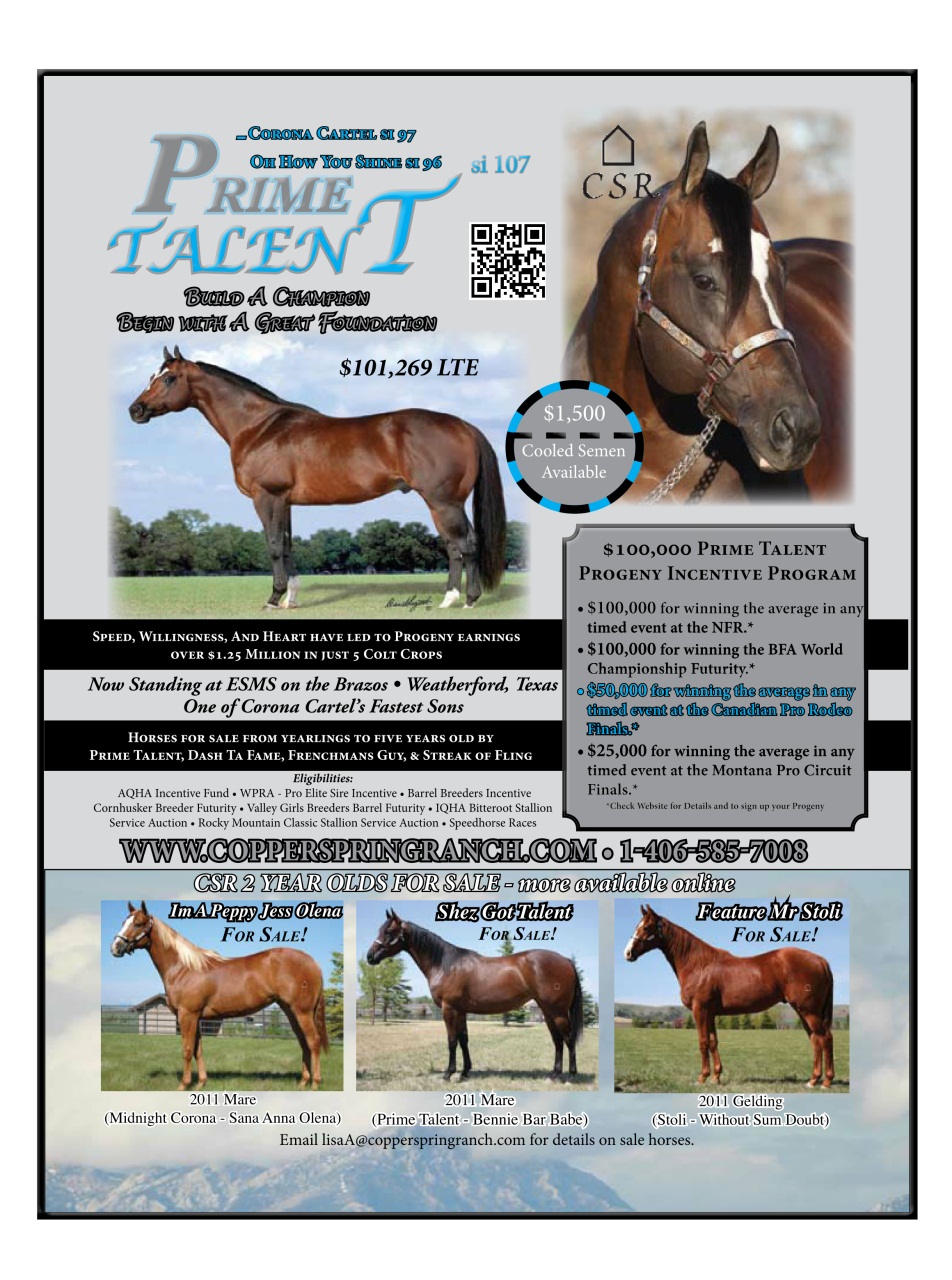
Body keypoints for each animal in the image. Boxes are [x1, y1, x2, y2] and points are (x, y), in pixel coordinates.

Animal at [110, 902, 329, 1090]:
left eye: (138, 923)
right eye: (123, 922)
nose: (115, 948)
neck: (185, 968)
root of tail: (313, 962)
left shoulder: (187, 1015)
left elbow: (187, 1049)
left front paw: (184, 1084)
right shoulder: (196, 1017)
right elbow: (198, 1050)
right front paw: (201, 1083)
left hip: (302, 1012)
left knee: (313, 1042)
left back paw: (316, 1083)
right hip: (291, 1011)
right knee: (303, 1042)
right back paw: (303, 1081)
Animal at [128, 347, 507, 609]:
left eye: (169, 379)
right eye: (151, 376)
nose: (135, 410)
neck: (258, 427)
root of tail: (463, 426)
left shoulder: (267, 496)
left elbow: (273, 545)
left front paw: (273, 598)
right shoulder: (285, 501)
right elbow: (287, 544)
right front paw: (291, 599)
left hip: (444, 501)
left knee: (466, 545)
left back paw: (469, 600)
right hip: (439, 503)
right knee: (455, 547)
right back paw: (449, 599)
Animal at [366, 909, 584, 1081]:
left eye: (389, 931)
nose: (370, 956)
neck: (446, 964)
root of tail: (565, 960)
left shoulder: (449, 1009)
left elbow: (452, 1040)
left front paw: (448, 1073)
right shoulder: (461, 1011)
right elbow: (464, 1039)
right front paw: (465, 1072)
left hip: (558, 1011)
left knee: (568, 1038)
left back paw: (571, 1075)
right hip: (547, 1011)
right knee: (557, 1040)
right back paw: (554, 1074)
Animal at [624, 905, 835, 1088]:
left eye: (647, 927)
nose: (628, 953)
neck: (699, 965)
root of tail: (821, 961)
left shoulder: (700, 1009)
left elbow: (703, 1042)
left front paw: (702, 1078)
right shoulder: (710, 1013)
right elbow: (713, 1042)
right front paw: (716, 1077)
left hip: (808, 1011)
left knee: (825, 1038)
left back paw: (825, 1081)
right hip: (803, 1011)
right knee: (816, 1040)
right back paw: (813, 1080)